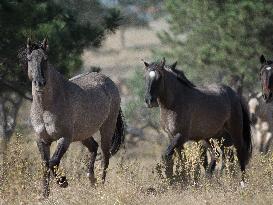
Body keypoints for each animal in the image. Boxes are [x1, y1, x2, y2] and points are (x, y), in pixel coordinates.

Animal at [142, 58, 251, 186]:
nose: (149, 101)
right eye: (145, 77)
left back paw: (242, 182)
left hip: (234, 132)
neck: (174, 104)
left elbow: (167, 155)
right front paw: (182, 179)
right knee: (221, 156)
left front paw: (172, 178)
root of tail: (234, 94)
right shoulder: (172, 136)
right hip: (217, 137)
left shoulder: (181, 136)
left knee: (239, 153)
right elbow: (180, 158)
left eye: (160, 77)